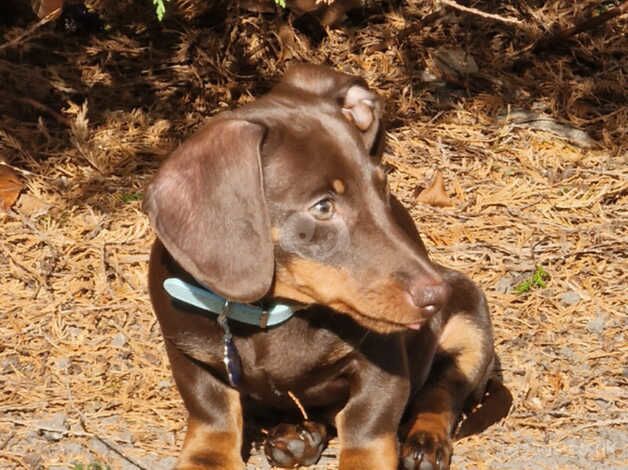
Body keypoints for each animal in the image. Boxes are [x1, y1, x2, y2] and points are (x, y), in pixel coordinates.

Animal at [142, 63, 496, 470]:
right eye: (324, 207)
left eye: (383, 187)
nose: (437, 296)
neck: (272, 313)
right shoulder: (190, 355)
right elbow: (212, 415)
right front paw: (208, 459)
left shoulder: (384, 363)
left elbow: (366, 428)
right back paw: (299, 438)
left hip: (471, 329)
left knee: (442, 392)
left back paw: (425, 441)